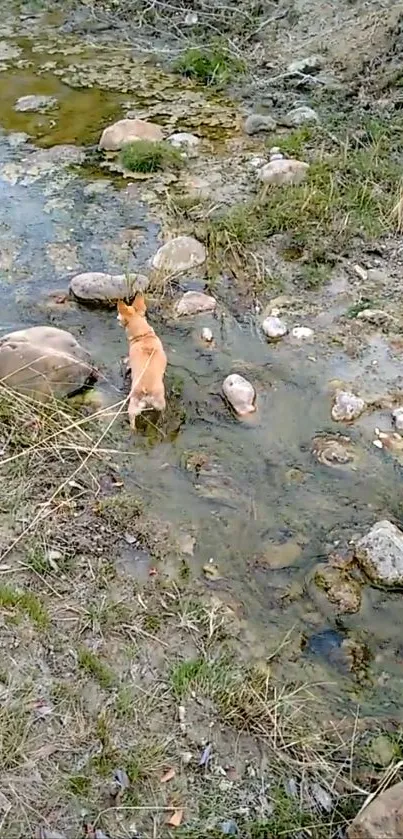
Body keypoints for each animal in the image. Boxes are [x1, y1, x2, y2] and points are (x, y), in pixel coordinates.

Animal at [117, 294, 167, 430]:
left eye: (119, 316)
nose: (116, 319)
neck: (143, 336)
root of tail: (146, 389)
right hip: (159, 403)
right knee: (160, 412)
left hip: (135, 404)